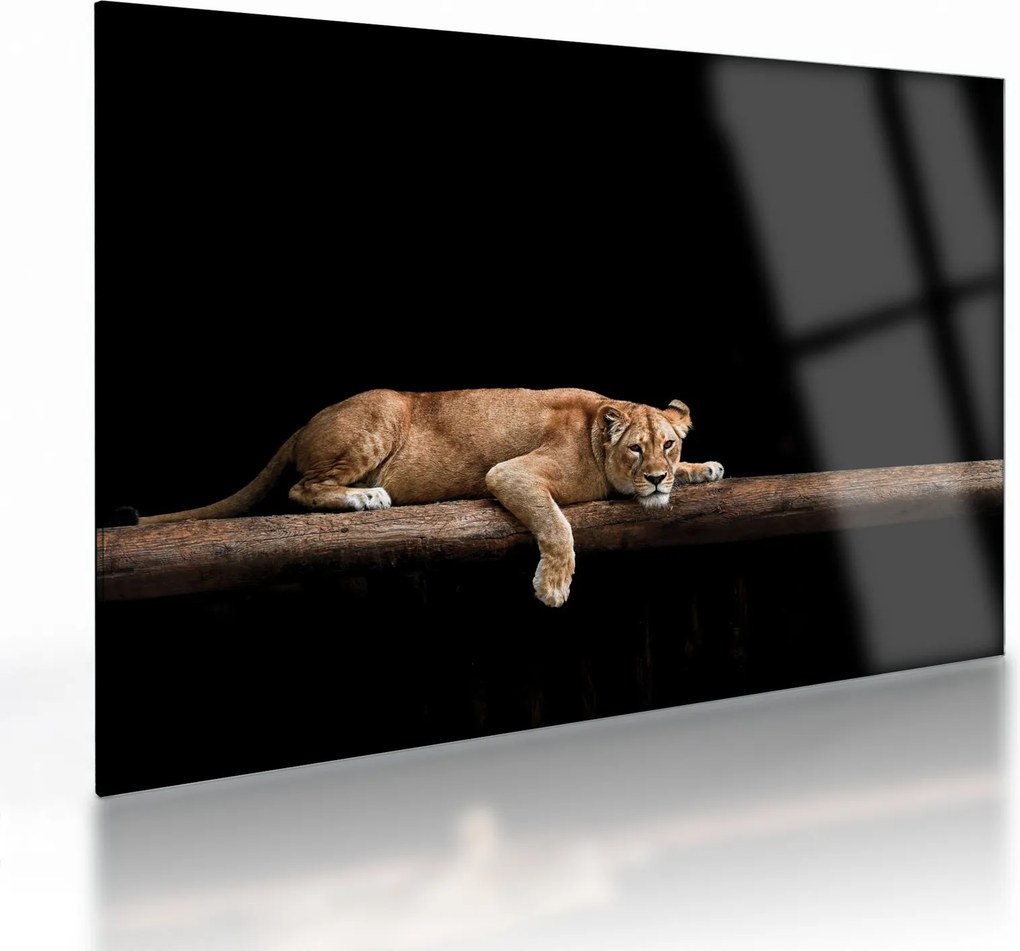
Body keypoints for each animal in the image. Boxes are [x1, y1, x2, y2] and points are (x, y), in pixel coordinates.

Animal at [138, 388, 724, 606]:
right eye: (635, 449)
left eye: (668, 445)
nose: (656, 478)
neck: (596, 429)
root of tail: (307, 421)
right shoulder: (510, 474)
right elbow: (558, 526)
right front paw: (553, 586)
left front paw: (705, 468)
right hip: (379, 419)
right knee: (301, 487)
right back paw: (365, 498)